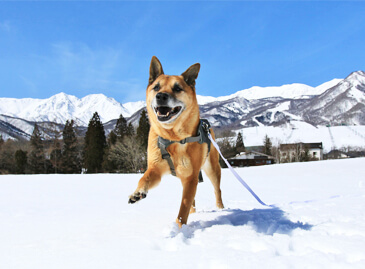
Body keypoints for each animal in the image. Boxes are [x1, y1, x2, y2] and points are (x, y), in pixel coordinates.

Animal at [129, 56, 223, 226]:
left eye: (177, 88)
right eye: (156, 87)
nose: (161, 96)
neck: (172, 138)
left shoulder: (191, 177)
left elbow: (183, 208)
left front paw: (179, 228)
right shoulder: (156, 168)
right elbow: (144, 177)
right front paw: (138, 192)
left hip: (212, 168)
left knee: (216, 190)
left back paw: (221, 209)